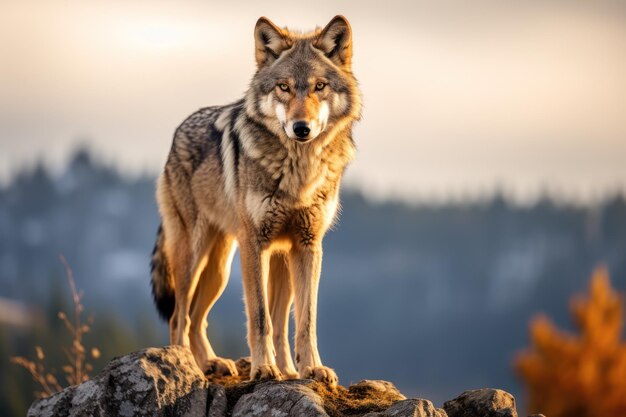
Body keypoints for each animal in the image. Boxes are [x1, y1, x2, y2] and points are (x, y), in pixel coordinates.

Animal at [148, 15, 358, 386]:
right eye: (283, 87)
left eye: (319, 86)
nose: (301, 128)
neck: (298, 171)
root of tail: (178, 132)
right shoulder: (255, 244)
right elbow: (260, 317)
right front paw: (263, 369)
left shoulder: (306, 245)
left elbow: (303, 320)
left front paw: (309, 369)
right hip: (195, 256)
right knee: (179, 316)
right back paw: (186, 366)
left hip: (225, 268)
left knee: (199, 318)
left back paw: (216, 363)